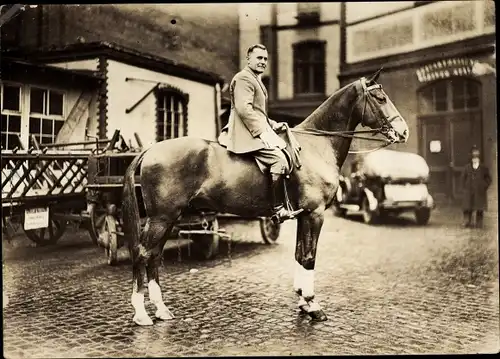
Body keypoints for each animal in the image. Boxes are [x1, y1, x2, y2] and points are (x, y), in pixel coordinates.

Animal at [123, 69, 408, 326]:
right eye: (380, 98)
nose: (404, 131)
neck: (315, 147)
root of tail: (151, 149)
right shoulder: (315, 214)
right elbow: (310, 257)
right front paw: (313, 305)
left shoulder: (303, 216)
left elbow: (299, 255)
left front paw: (303, 302)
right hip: (161, 218)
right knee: (143, 253)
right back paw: (141, 314)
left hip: (169, 218)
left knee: (154, 256)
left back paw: (161, 309)